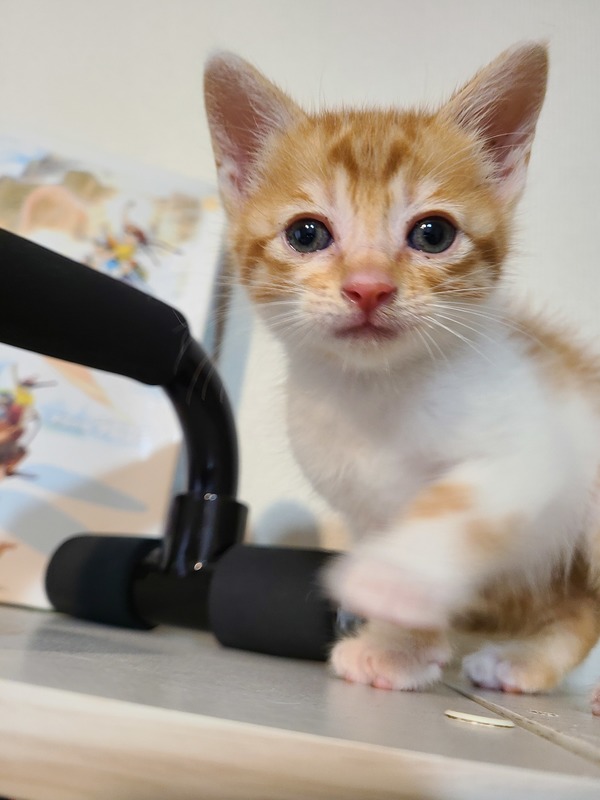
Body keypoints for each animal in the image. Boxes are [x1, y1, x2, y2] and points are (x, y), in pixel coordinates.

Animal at [204, 43, 600, 712]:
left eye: (433, 234)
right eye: (306, 233)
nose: (369, 287)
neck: (378, 394)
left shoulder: (536, 452)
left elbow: (454, 508)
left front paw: (391, 578)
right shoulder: (362, 501)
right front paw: (399, 647)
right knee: (577, 604)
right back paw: (525, 659)